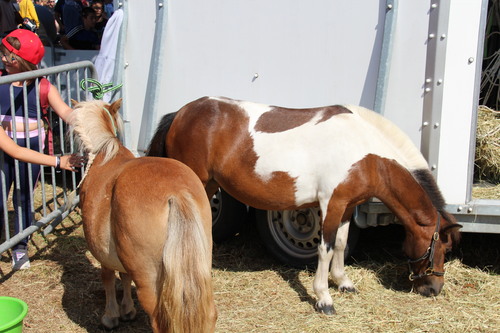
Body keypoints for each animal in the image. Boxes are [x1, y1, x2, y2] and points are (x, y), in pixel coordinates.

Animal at [70, 99, 217, 332]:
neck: (106, 154)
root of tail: (177, 193)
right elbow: (124, 275)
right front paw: (127, 310)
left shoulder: (102, 252)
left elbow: (108, 277)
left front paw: (112, 315)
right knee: (210, 313)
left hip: (150, 281)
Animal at [147, 96, 460, 314]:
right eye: (443, 249)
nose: (434, 288)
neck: (363, 148)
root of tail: (181, 113)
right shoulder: (330, 203)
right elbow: (325, 248)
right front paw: (324, 298)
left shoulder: (347, 207)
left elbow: (341, 245)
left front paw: (343, 282)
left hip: (209, 184)